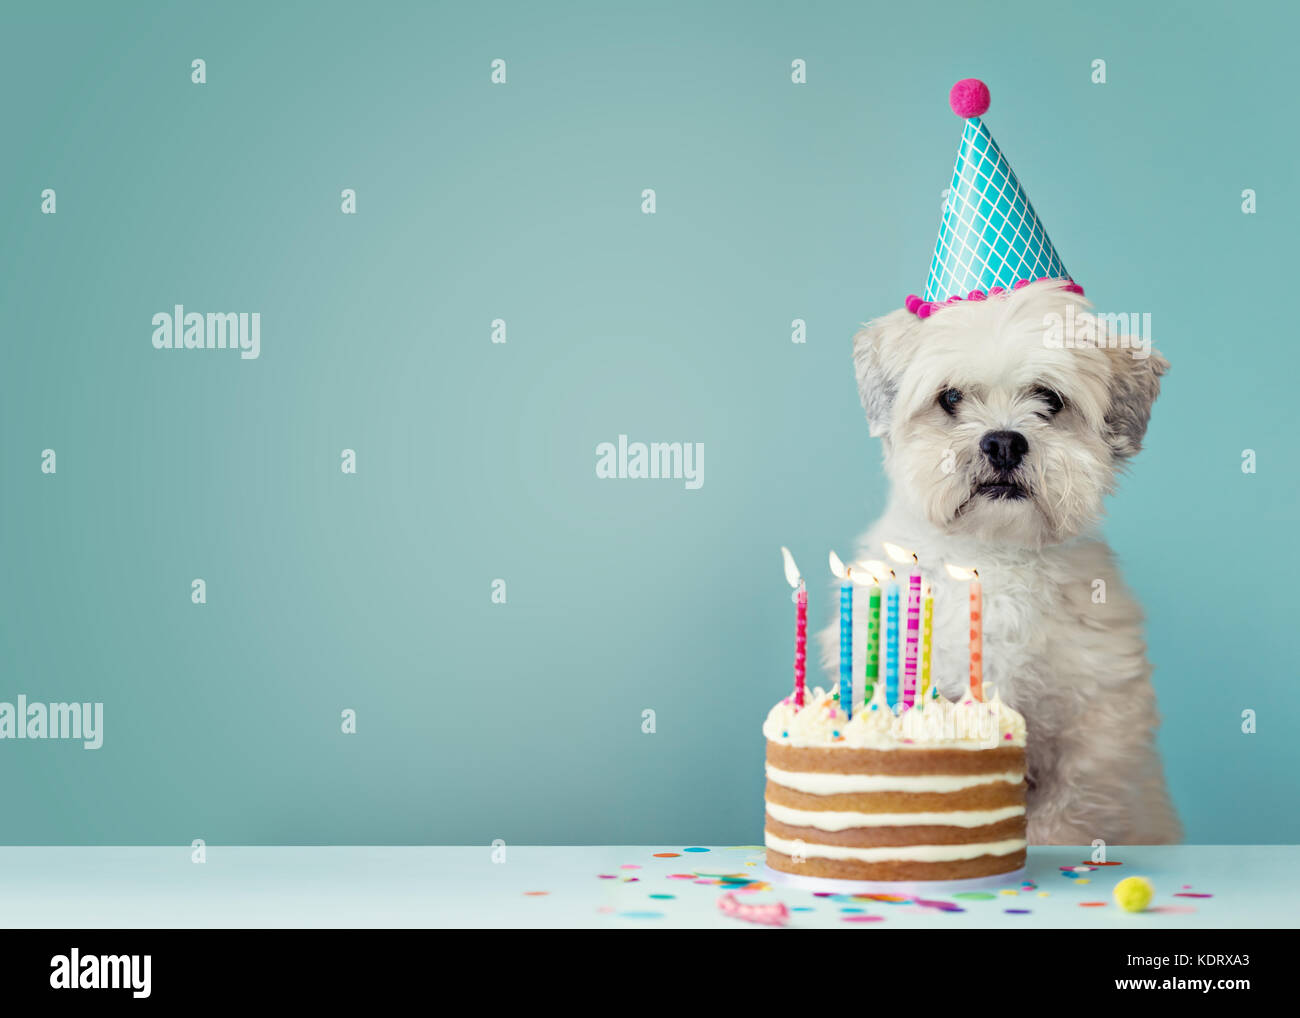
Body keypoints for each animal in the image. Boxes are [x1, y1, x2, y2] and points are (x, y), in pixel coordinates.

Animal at [821, 278, 1180, 842]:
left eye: (1049, 399)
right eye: (950, 398)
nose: (1005, 441)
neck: (993, 555)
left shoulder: (1098, 729)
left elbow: (1069, 810)